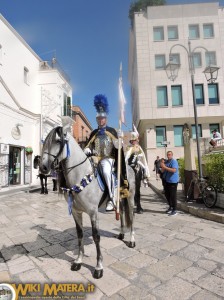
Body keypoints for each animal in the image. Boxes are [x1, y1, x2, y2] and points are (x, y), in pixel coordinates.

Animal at [39, 126, 135, 278]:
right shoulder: (76, 212)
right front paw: (78, 261)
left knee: (131, 216)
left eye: (58, 141)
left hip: (130, 198)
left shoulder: (93, 212)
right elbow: (80, 234)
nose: (42, 167)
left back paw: (131, 240)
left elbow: (96, 237)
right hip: (120, 199)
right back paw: (121, 234)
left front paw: (98, 267)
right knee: (121, 214)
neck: (80, 176)